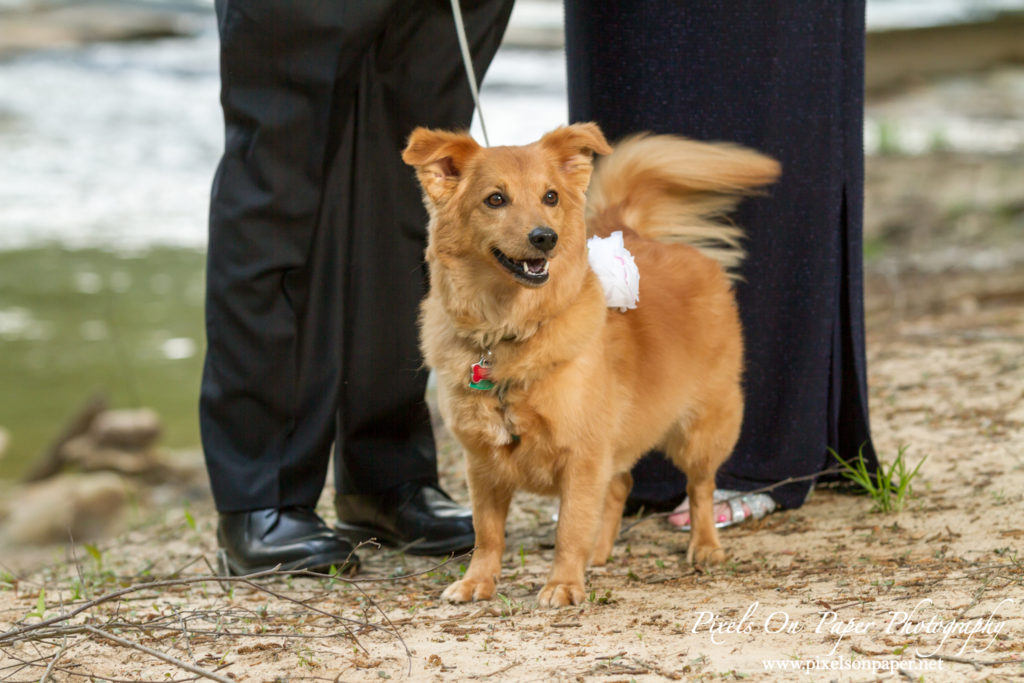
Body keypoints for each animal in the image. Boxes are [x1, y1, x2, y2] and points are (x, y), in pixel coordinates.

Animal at [403, 124, 778, 610]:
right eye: (495, 199)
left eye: (550, 196)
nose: (545, 237)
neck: (509, 329)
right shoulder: (483, 462)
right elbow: (487, 533)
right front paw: (477, 582)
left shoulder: (582, 454)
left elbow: (570, 526)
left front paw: (563, 583)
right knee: (620, 485)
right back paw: (599, 553)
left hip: (703, 427)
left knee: (700, 488)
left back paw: (705, 546)